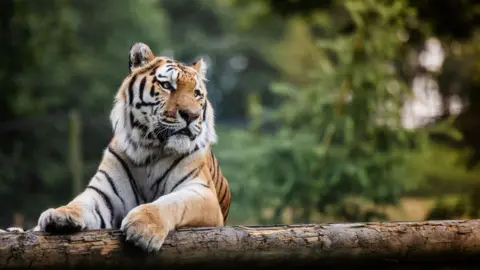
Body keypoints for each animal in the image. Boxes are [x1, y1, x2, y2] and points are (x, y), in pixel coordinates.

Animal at [33, 41, 231, 252]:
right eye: (167, 86)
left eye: (196, 94)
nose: (192, 115)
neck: (151, 149)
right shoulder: (104, 194)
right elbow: (80, 202)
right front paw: (59, 215)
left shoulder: (202, 192)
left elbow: (172, 202)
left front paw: (143, 226)